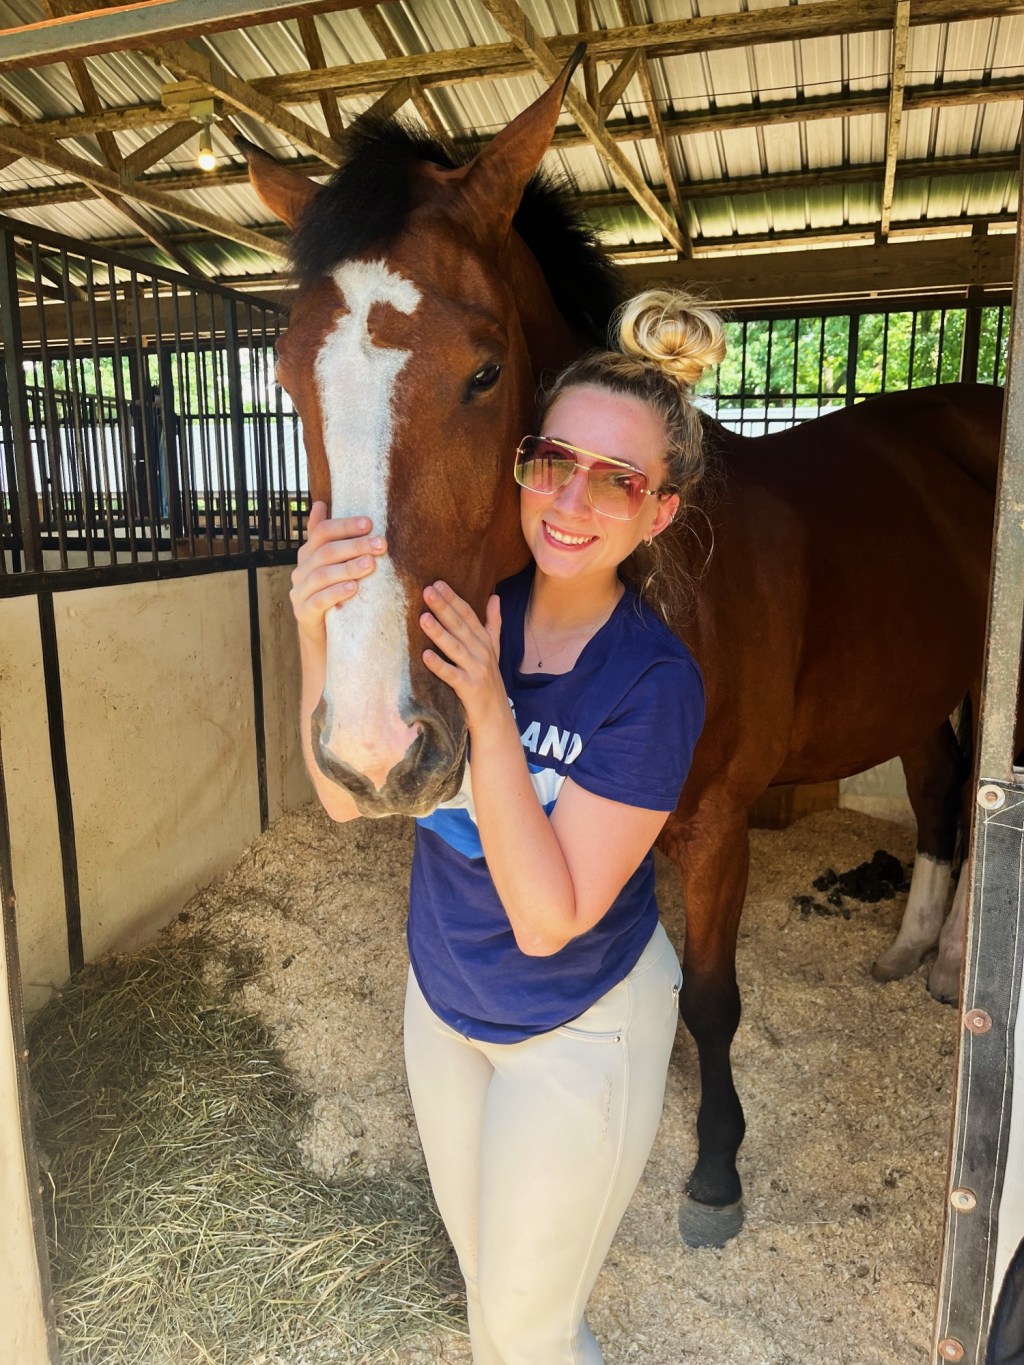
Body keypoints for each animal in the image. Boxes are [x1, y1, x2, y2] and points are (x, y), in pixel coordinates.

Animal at [239, 53, 1003, 1248]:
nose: (373, 750)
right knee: (934, 791)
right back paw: (909, 949)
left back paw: (956, 965)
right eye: (286, 374)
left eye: (483, 372)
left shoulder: (717, 822)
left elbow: (712, 996)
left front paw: (715, 1167)